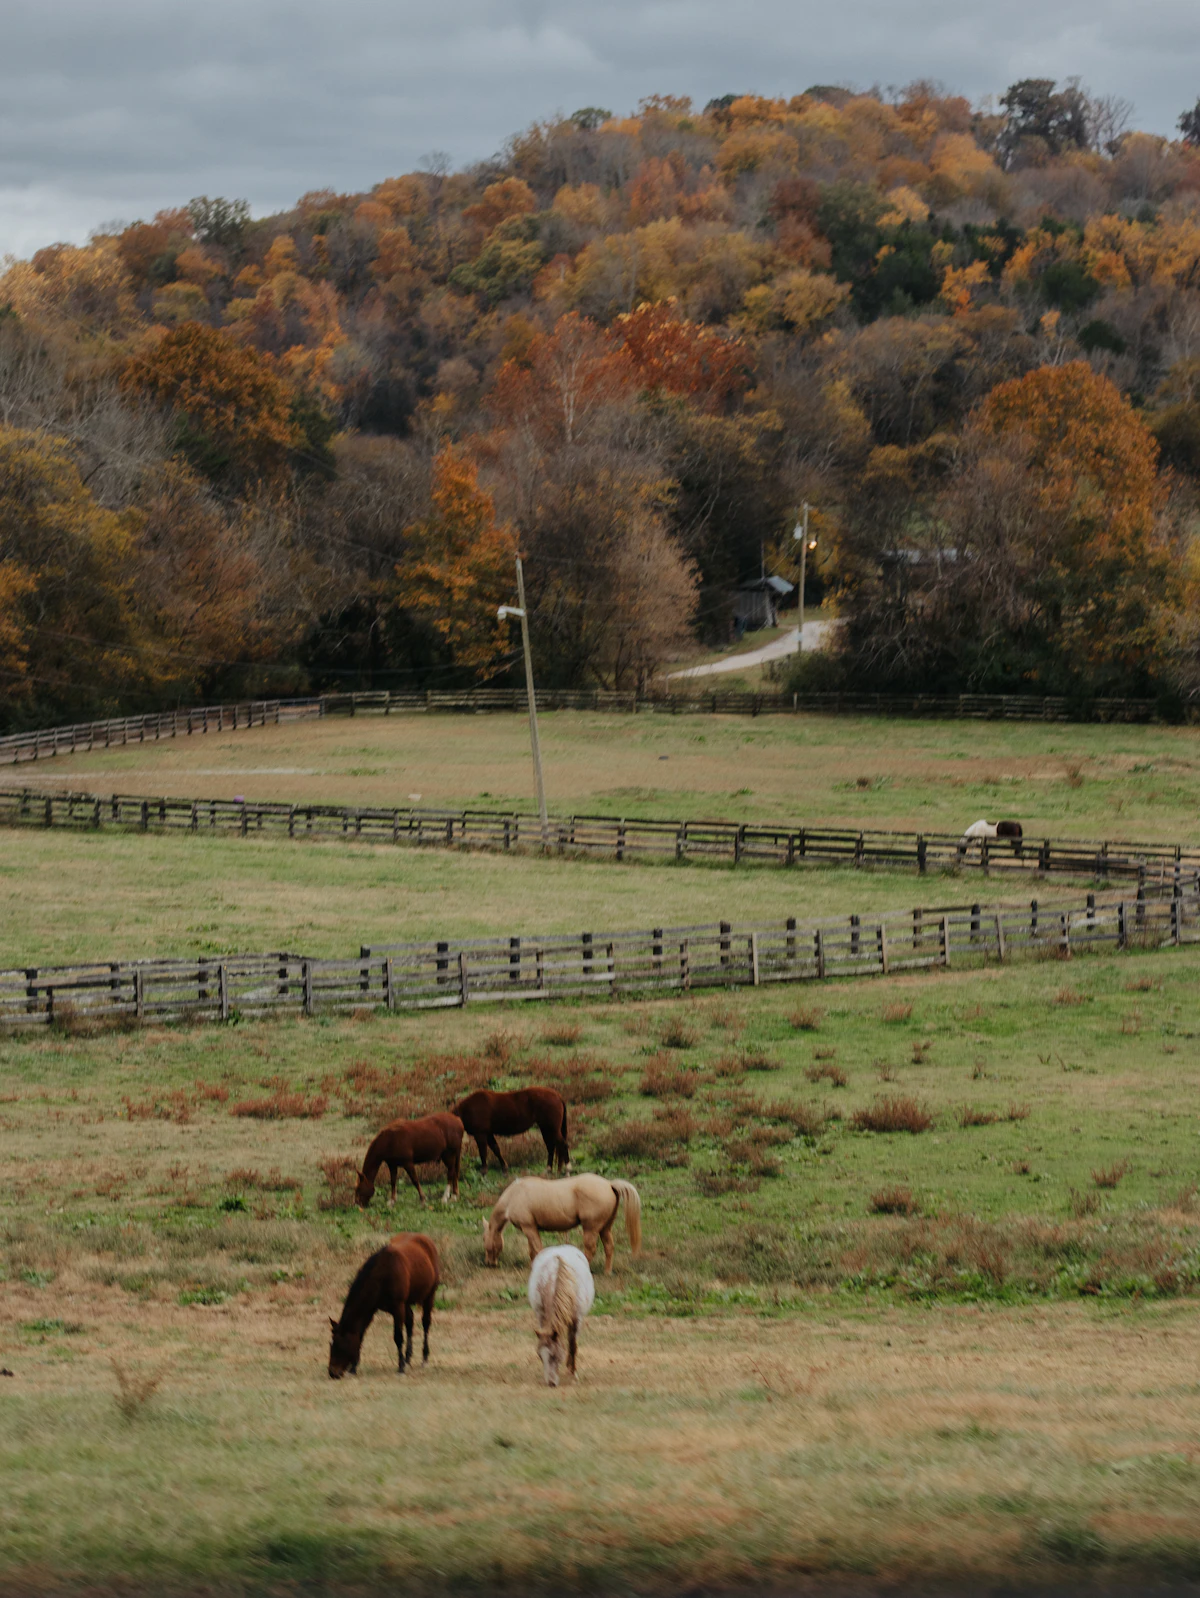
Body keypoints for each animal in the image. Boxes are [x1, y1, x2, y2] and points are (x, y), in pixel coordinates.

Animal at [328, 1233, 440, 1378]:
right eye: (331, 1344)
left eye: (340, 1345)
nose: (332, 1372)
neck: (383, 1274)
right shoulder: (371, 1309)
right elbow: (361, 1335)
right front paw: (353, 1368)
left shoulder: (398, 1307)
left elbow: (398, 1337)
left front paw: (400, 1367)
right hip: (407, 1302)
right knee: (410, 1322)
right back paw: (408, 1358)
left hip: (429, 1295)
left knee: (425, 1323)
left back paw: (424, 1358)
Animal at [483, 1173, 641, 1273]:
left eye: (484, 1240)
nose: (489, 1263)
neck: (514, 1196)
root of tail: (609, 1184)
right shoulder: (530, 1229)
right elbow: (532, 1250)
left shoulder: (529, 1228)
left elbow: (538, 1248)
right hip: (605, 1228)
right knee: (609, 1248)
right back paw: (607, 1271)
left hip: (590, 1229)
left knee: (590, 1250)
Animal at [529, 1244, 595, 1387]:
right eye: (540, 1356)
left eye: (554, 1355)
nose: (551, 1383)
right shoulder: (541, 1316)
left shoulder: (576, 1319)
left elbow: (573, 1345)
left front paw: (573, 1373)